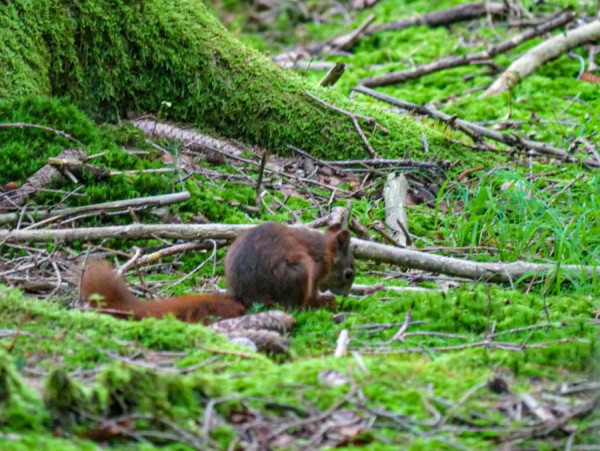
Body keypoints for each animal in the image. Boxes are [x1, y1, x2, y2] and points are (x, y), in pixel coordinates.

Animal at [78, 223, 352, 324]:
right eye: (349, 274)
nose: (347, 294)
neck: (324, 251)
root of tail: (243, 297)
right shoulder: (315, 269)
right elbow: (312, 295)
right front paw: (325, 301)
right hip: (298, 272)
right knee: (294, 305)